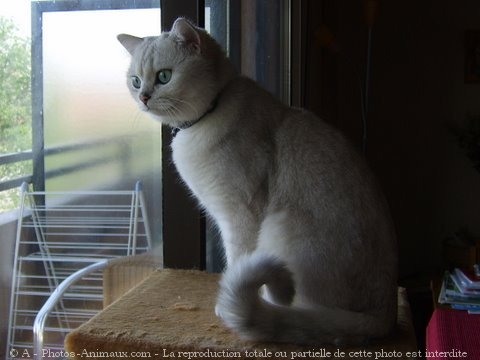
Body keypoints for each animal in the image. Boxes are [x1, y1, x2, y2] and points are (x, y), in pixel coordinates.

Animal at [117, 17, 398, 346]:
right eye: (136, 81)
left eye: (164, 76)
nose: (144, 97)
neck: (206, 116)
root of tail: (385, 316)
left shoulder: (240, 216)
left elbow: (236, 260)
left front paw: (224, 309)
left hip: (278, 225)